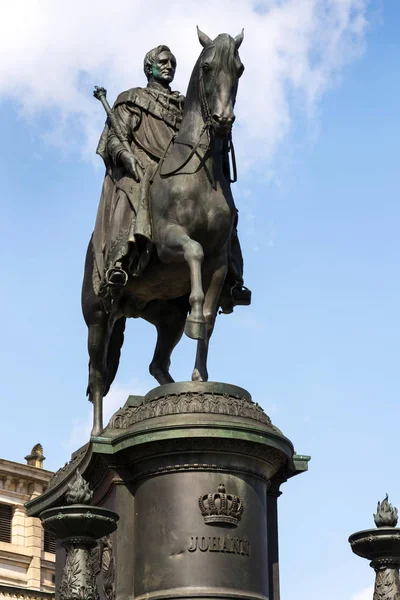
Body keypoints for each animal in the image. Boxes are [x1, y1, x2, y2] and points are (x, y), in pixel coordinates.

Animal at [82, 28, 245, 434]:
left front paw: (200, 377)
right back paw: (97, 434)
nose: (223, 119)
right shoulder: (170, 242)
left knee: (157, 364)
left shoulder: (220, 262)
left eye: (239, 68)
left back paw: (166, 393)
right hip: (97, 317)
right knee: (97, 375)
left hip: (165, 318)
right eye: (207, 66)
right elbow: (193, 252)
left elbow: (210, 317)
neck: (198, 174)